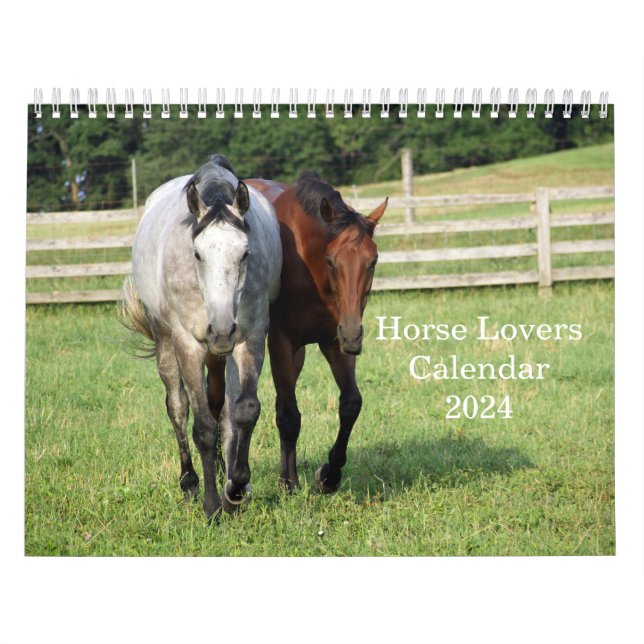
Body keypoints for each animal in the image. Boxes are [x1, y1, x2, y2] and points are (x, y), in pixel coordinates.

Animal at [120, 155, 282, 520]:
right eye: (197, 254)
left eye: (245, 253)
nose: (220, 330)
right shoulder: (188, 343)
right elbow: (203, 427)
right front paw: (211, 506)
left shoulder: (251, 336)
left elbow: (244, 411)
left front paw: (235, 488)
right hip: (167, 342)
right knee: (178, 408)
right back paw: (190, 483)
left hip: (222, 355)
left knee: (223, 409)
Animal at [247, 173, 387, 493]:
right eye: (331, 261)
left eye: (372, 261)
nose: (354, 335)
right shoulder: (281, 341)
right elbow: (289, 416)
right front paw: (289, 484)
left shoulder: (335, 340)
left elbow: (350, 404)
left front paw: (329, 475)